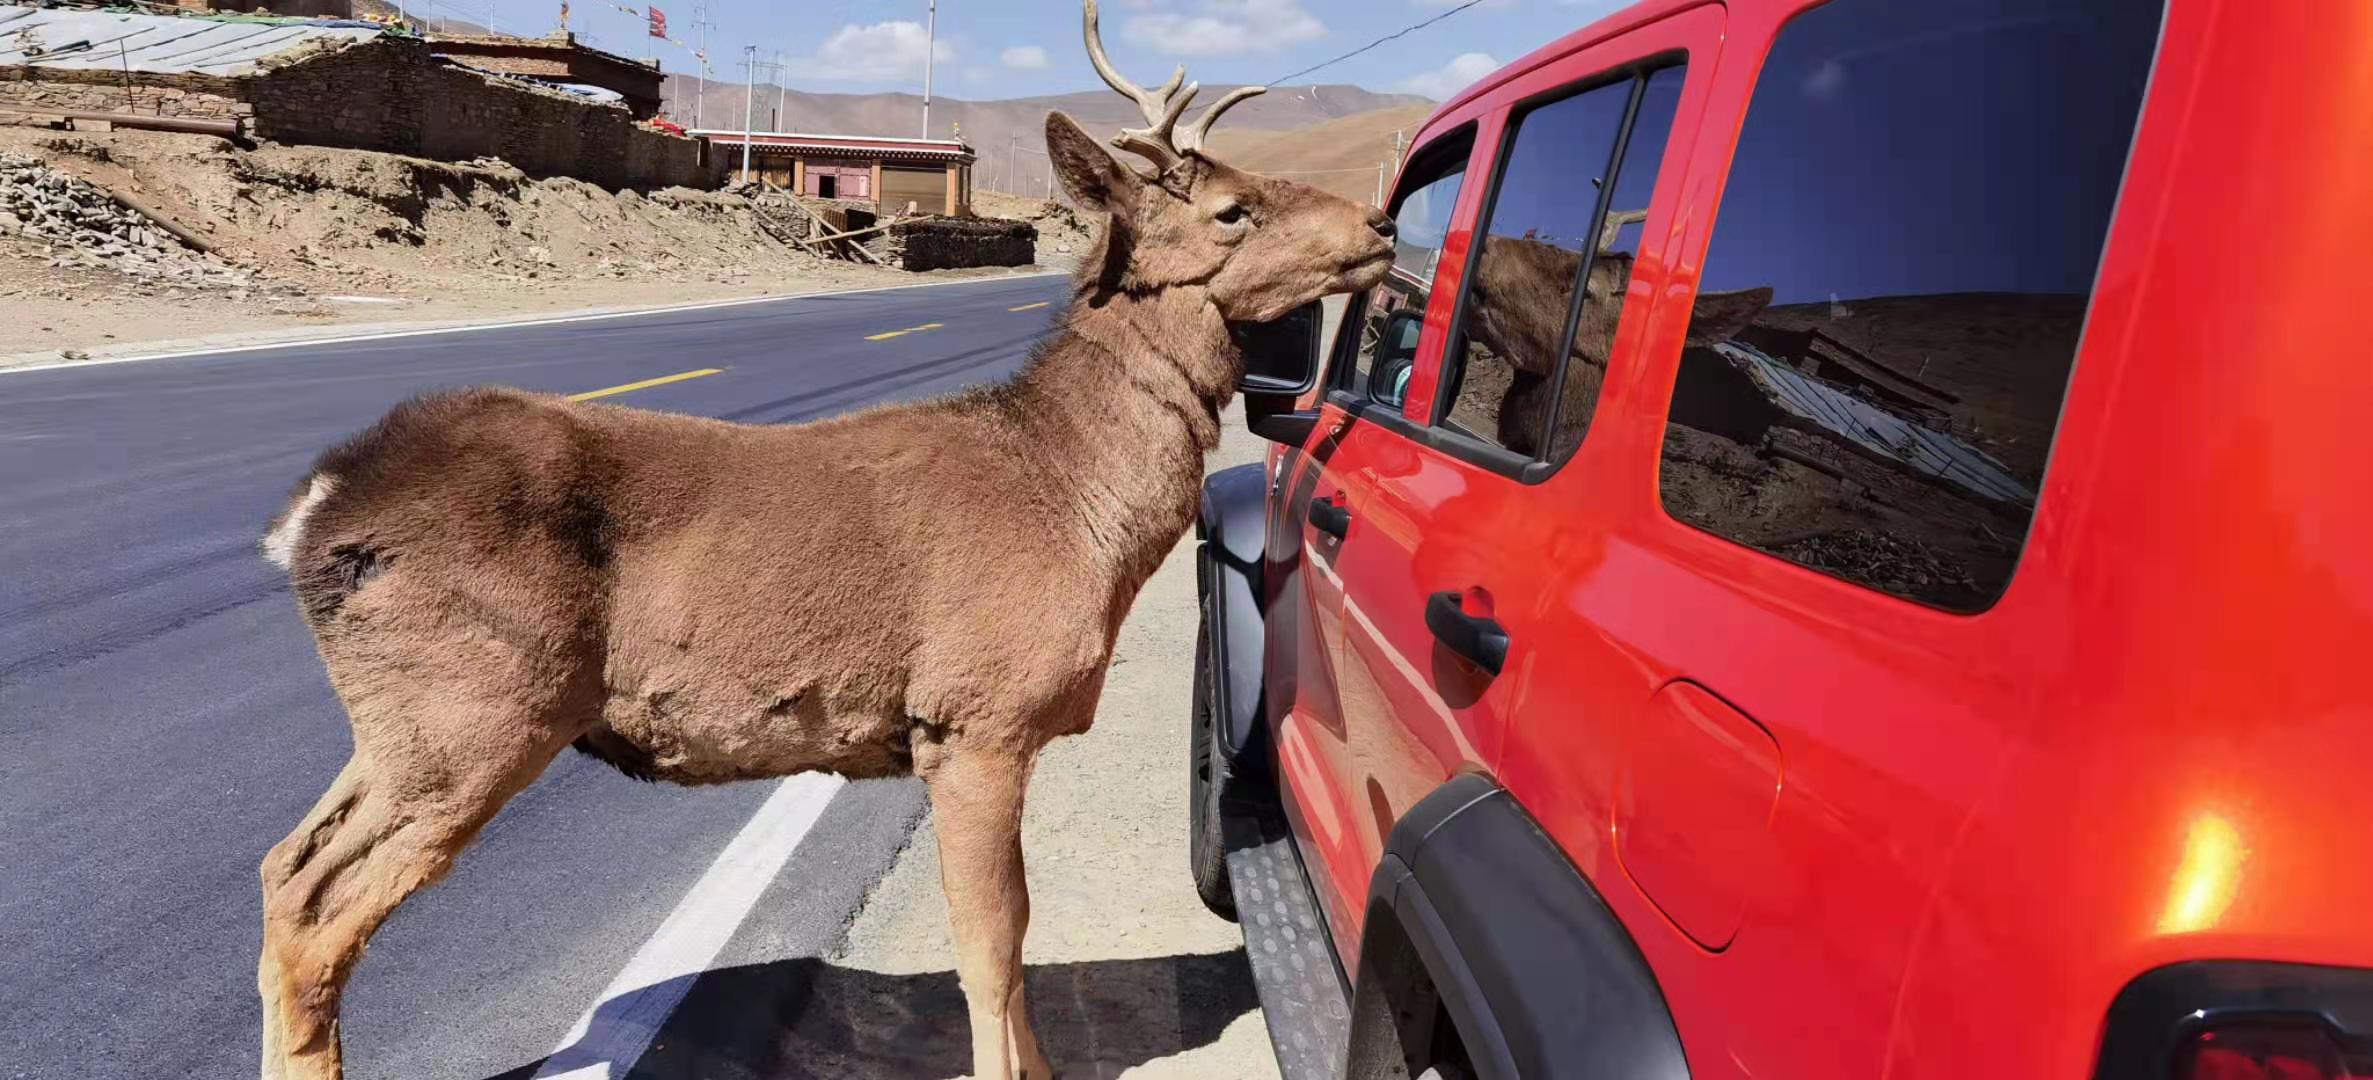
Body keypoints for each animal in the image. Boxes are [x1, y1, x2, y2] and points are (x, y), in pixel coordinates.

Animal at [245, 4, 1385, 1077]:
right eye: (1236, 208)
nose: (1379, 223)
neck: (1069, 495)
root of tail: (313, 506)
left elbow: (1017, 938)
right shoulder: (973, 715)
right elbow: (993, 944)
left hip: (403, 725)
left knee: (281, 871)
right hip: (475, 707)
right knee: (319, 911)